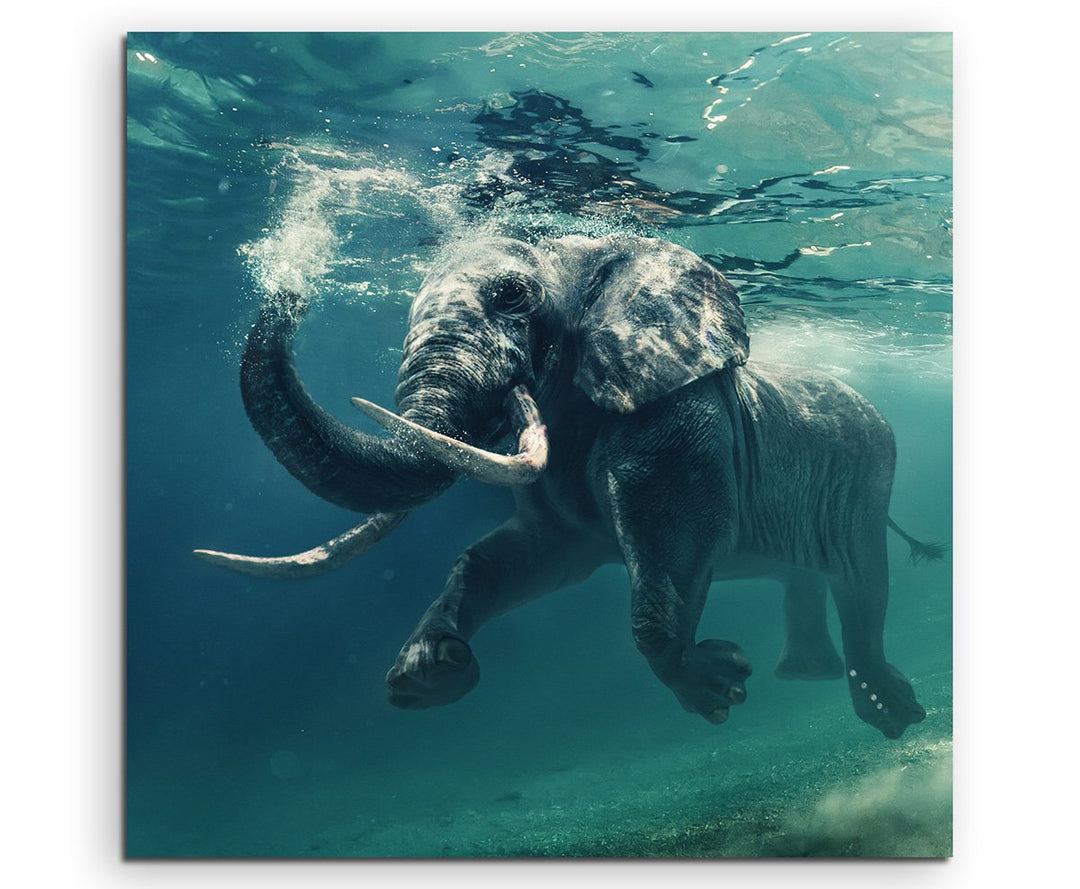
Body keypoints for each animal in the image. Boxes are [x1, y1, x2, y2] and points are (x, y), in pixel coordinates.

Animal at [196, 233, 943, 739]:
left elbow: (677, 539)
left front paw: (717, 685)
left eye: (511, 296)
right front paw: (429, 673)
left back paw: (891, 713)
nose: (291, 289)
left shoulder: (676, 416)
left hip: (869, 476)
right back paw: (810, 677)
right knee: (809, 576)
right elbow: (515, 556)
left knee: (862, 583)